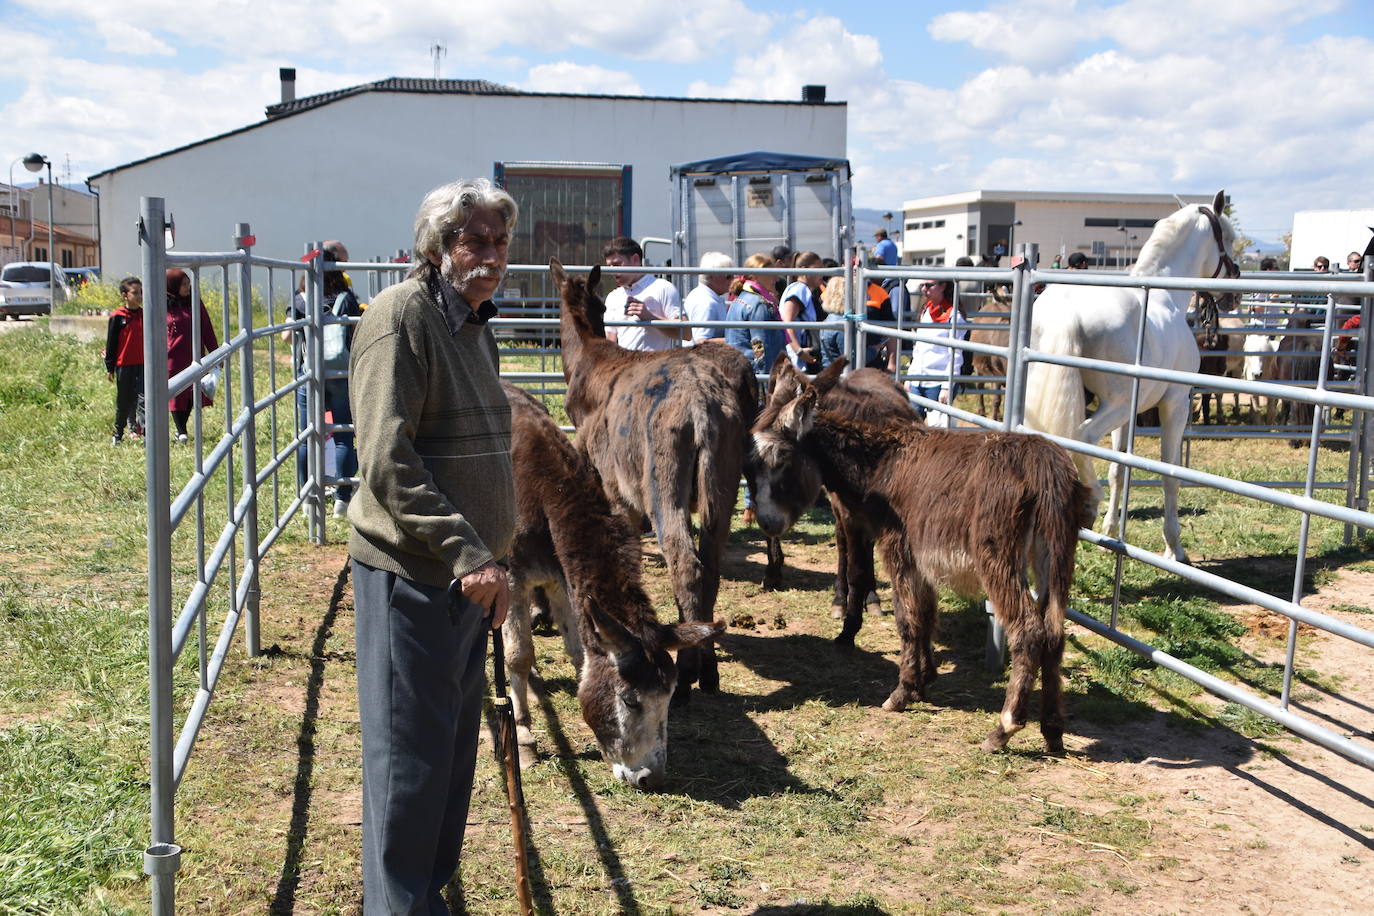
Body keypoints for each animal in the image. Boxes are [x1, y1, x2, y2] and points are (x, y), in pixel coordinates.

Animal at [1022, 189, 1236, 563]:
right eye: (1231, 238)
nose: (1234, 291)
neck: (1167, 297)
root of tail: (1066, 310)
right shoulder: (1175, 403)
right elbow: (1169, 474)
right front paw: (1174, 547)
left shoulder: (1130, 416)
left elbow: (1119, 469)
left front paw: (1111, 532)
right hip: (1115, 404)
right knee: (1083, 436)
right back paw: (1089, 502)